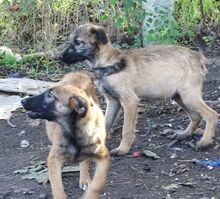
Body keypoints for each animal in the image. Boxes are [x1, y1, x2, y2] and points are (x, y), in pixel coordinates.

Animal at [58, 22, 218, 155]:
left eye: (78, 42)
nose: (58, 57)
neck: (107, 63)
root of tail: (197, 56)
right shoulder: (113, 101)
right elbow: (106, 123)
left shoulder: (129, 101)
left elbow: (127, 129)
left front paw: (123, 149)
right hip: (178, 95)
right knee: (196, 116)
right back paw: (185, 134)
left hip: (188, 96)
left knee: (211, 114)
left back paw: (204, 142)